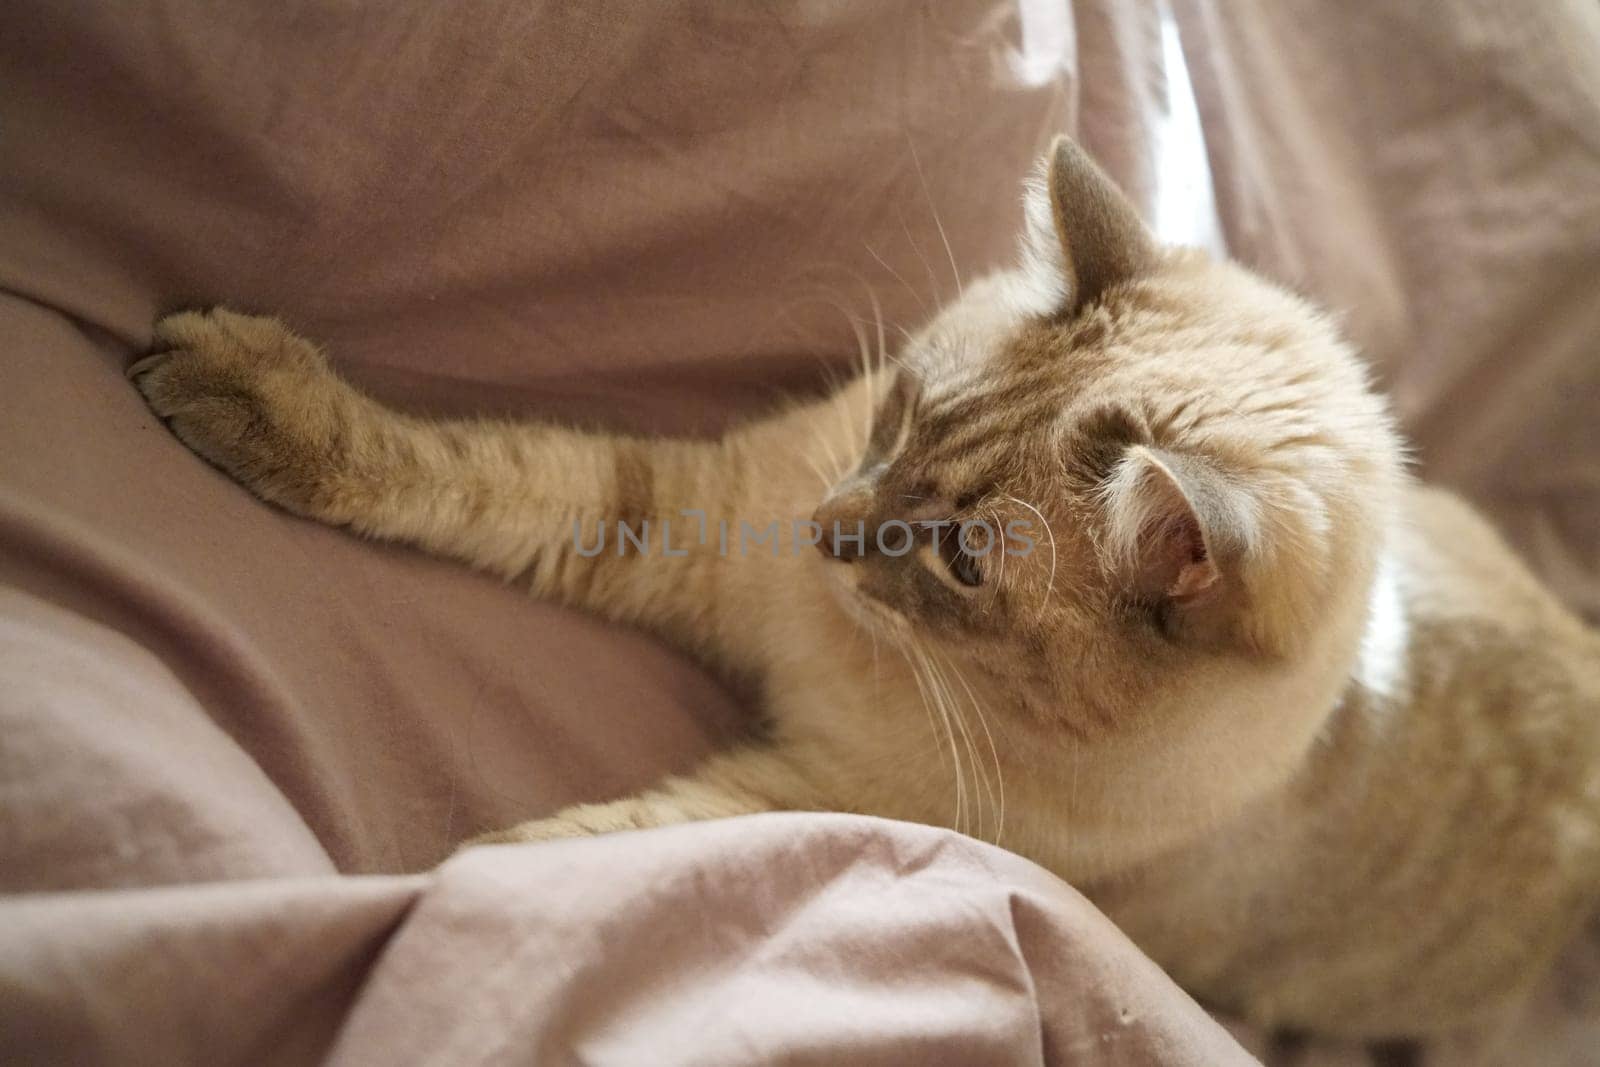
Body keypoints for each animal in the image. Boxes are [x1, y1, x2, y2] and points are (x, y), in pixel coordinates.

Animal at [128, 135, 1600, 1043]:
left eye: (956, 558)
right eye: (897, 411)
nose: (826, 532)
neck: (848, 651)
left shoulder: (803, 799)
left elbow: (546, 865)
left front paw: (384, 917)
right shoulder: (694, 518)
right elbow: (466, 470)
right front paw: (237, 393)